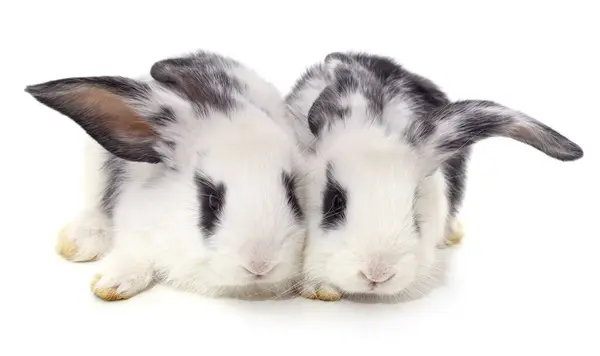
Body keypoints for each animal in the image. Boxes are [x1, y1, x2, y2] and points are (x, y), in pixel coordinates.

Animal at [25, 49, 308, 300]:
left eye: (293, 195)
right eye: (211, 200)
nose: (261, 264)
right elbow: (134, 254)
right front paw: (113, 283)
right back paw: (78, 243)